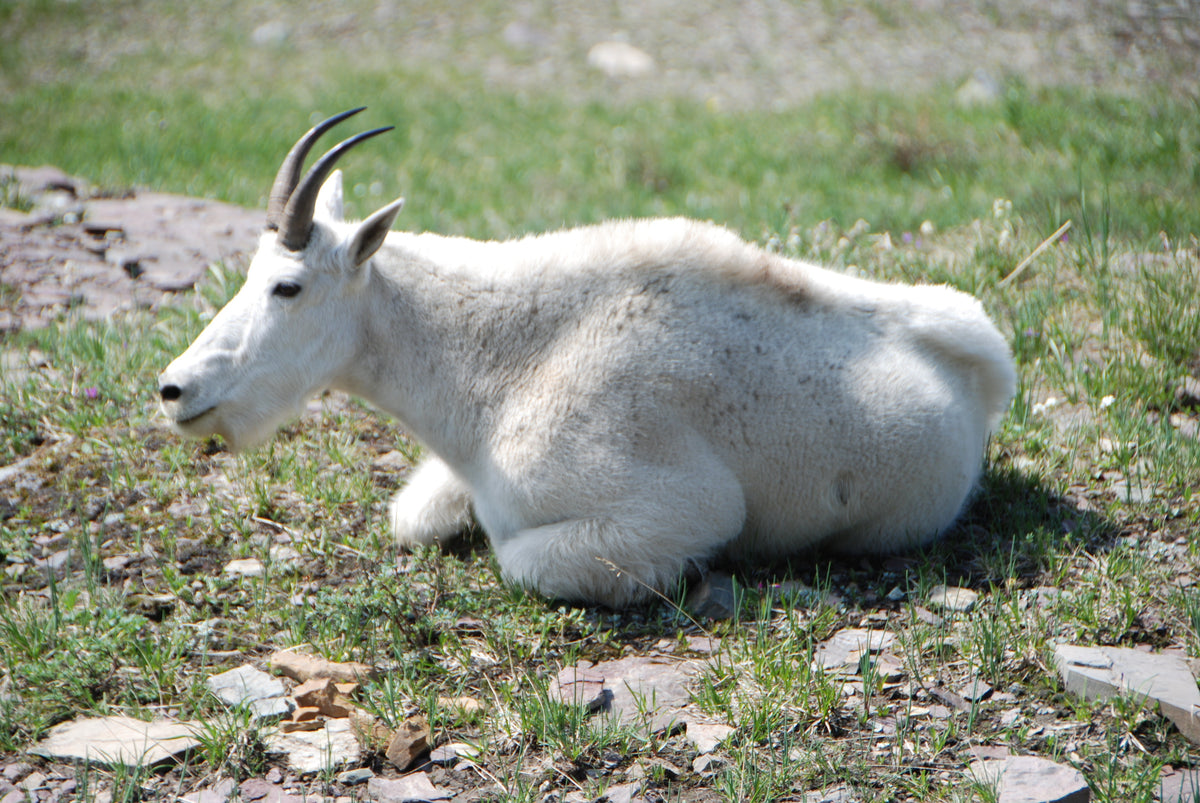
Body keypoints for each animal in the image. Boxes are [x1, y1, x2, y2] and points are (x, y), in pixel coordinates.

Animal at [159, 108, 1016, 607]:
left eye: (288, 286)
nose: (174, 389)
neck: (494, 360)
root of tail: (984, 368)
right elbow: (413, 515)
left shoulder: (683, 504)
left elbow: (519, 557)